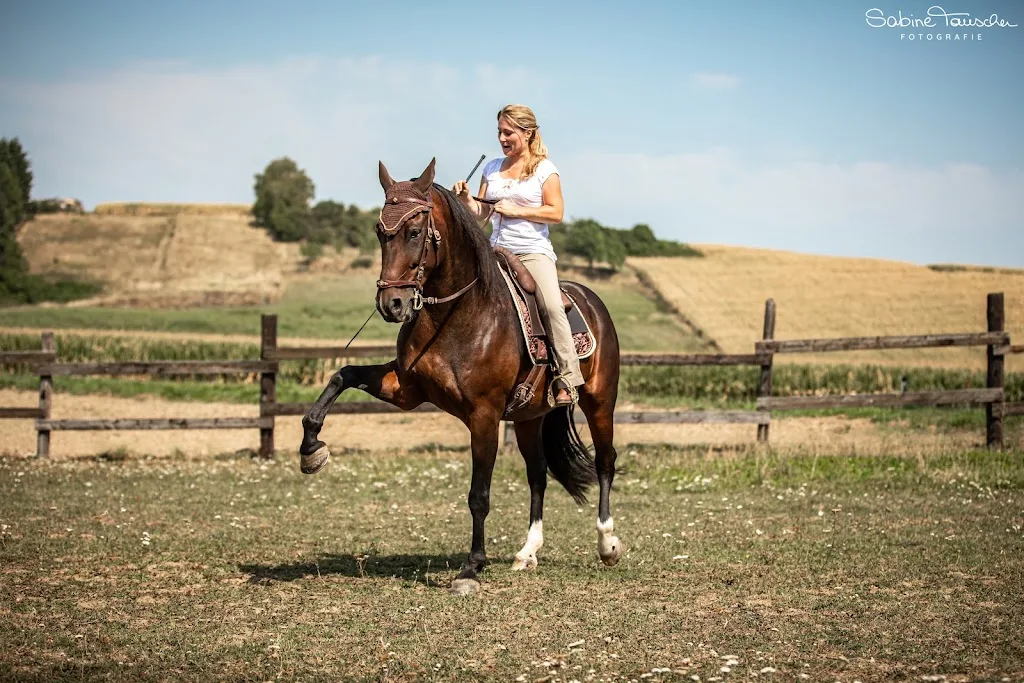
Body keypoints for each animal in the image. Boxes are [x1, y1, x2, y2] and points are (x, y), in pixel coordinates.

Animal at [298, 158, 624, 594]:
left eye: (414, 231)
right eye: (380, 232)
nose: (392, 303)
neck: (459, 313)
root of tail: (591, 299)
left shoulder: (483, 416)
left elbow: (478, 495)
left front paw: (472, 568)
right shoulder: (405, 389)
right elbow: (342, 375)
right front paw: (311, 449)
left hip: (599, 402)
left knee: (605, 462)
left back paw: (607, 544)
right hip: (528, 417)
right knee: (538, 475)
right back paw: (527, 553)